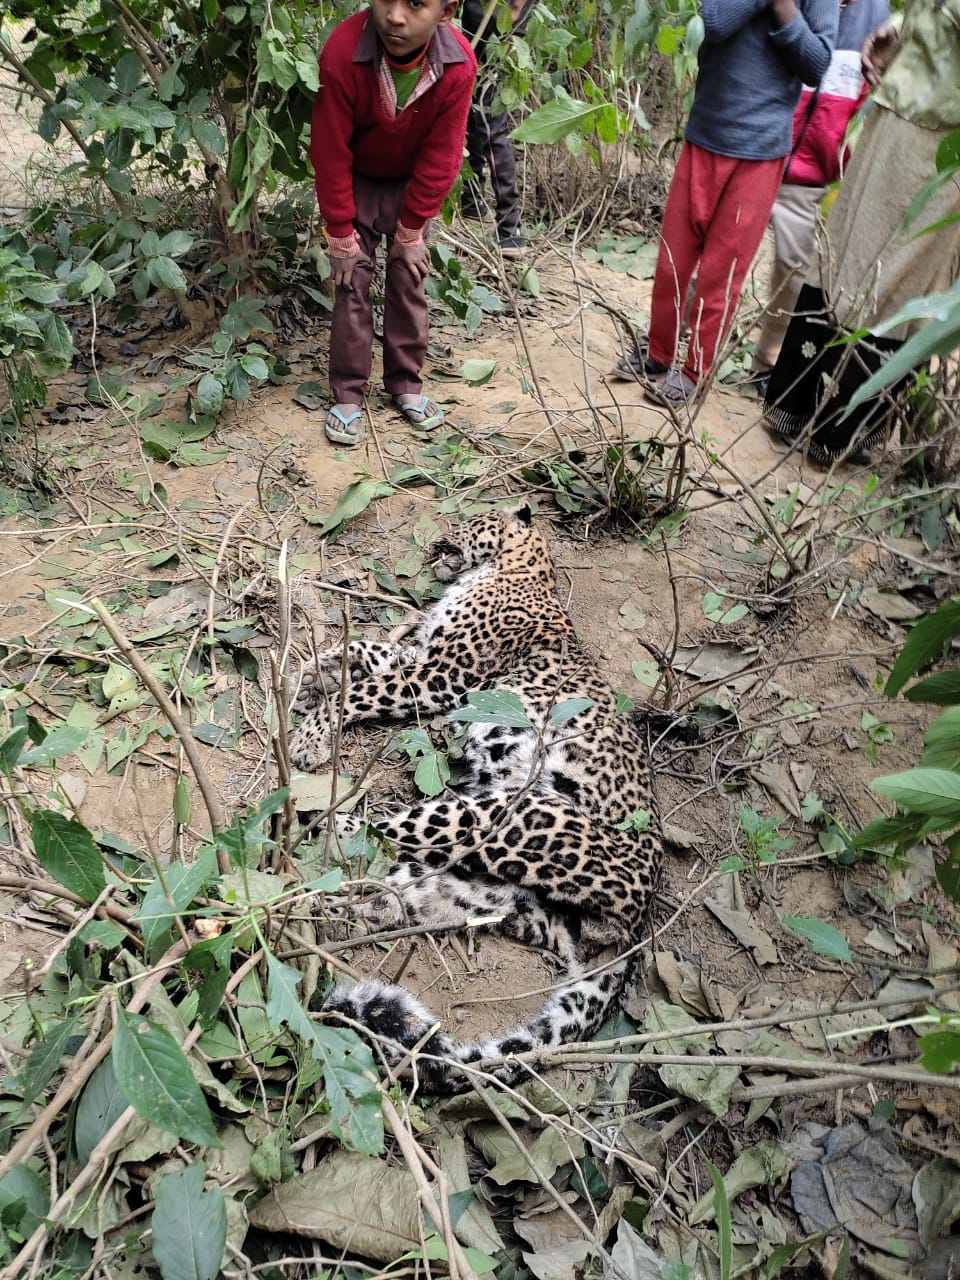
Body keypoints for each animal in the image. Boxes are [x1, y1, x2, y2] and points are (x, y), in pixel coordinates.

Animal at [290, 504, 661, 1093]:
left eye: (468, 517)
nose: (434, 540)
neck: (516, 566)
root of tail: (641, 917)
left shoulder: (442, 673)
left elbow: (363, 688)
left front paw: (310, 733)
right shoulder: (423, 654)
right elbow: (371, 648)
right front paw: (315, 673)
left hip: (509, 815)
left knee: (382, 831)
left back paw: (312, 825)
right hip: (479, 889)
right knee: (390, 886)